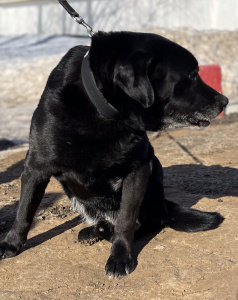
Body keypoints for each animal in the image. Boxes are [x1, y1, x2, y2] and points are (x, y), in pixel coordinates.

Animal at [0, 31, 228, 278]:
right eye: (192, 75)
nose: (225, 101)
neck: (103, 109)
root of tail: (163, 204)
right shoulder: (36, 167)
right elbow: (24, 211)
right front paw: (11, 244)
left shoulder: (139, 169)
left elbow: (126, 220)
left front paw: (120, 257)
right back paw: (95, 230)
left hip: (153, 175)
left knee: (151, 221)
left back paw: (106, 231)